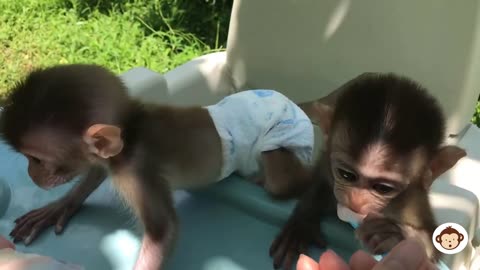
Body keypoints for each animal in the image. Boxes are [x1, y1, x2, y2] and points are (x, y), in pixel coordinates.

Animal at [0, 64, 316, 268]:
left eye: (37, 159)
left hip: (284, 128)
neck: (131, 133)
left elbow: (162, 230)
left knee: (282, 182)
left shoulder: (136, 172)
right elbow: (96, 171)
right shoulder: (112, 161)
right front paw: (60, 207)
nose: (31, 173)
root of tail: (288, 100)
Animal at [270, 73, 468, 268]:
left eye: (383, 188)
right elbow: (320, 180)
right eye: (346, 175)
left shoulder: (413, 203)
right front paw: (301, 224)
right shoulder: (328, 165)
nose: (356, 201)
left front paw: (395, 235)